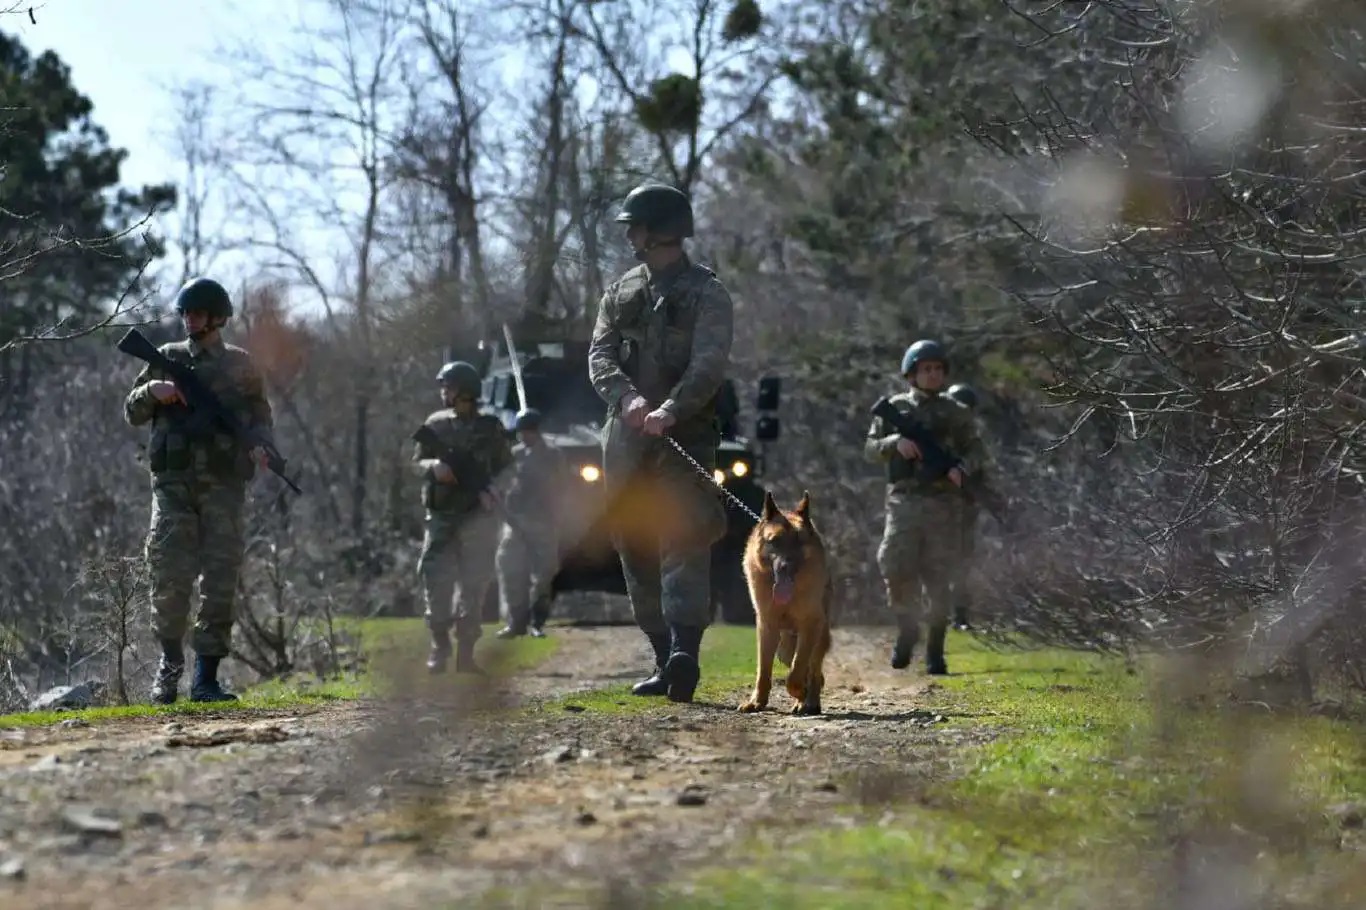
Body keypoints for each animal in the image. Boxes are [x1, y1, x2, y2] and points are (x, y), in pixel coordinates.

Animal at [737, 489, 830, 715]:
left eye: (798, 541)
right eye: (775, 541)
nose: (785, 567)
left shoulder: (810, 625)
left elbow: (796, 672)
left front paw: (801, 693)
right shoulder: (766, 626)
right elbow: (763, 670)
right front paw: (757, 702)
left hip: (817, 637)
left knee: (813, 671)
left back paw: (810, 701)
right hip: (785, 649)